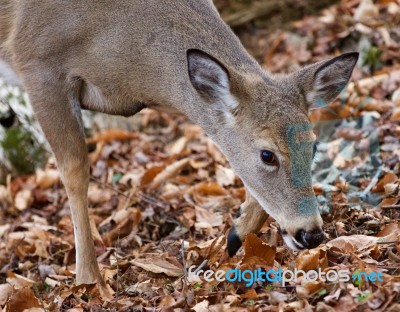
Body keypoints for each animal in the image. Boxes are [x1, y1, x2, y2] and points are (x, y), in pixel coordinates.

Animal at [0, 0, 356, 294]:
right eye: (267, 154)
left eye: (313, 146)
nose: (311, 233)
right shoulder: (36, 61)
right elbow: (74, 169)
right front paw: (90, 281)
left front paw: (234, 236)